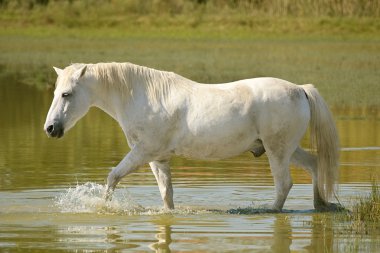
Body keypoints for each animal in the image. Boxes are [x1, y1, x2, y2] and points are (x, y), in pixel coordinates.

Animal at [44, 62, 342, 211]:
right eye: (55, 92)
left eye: (67, 94)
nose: (51, 129)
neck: (143, 96)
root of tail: (300, 89)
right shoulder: (158, 159)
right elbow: (167, 196)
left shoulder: (143, 152)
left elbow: (112, 177)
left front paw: (104, 209)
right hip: (287, 149)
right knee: (315, 165)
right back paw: (320, 205)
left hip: (278, 151)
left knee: (284, 185)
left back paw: (269, 211)